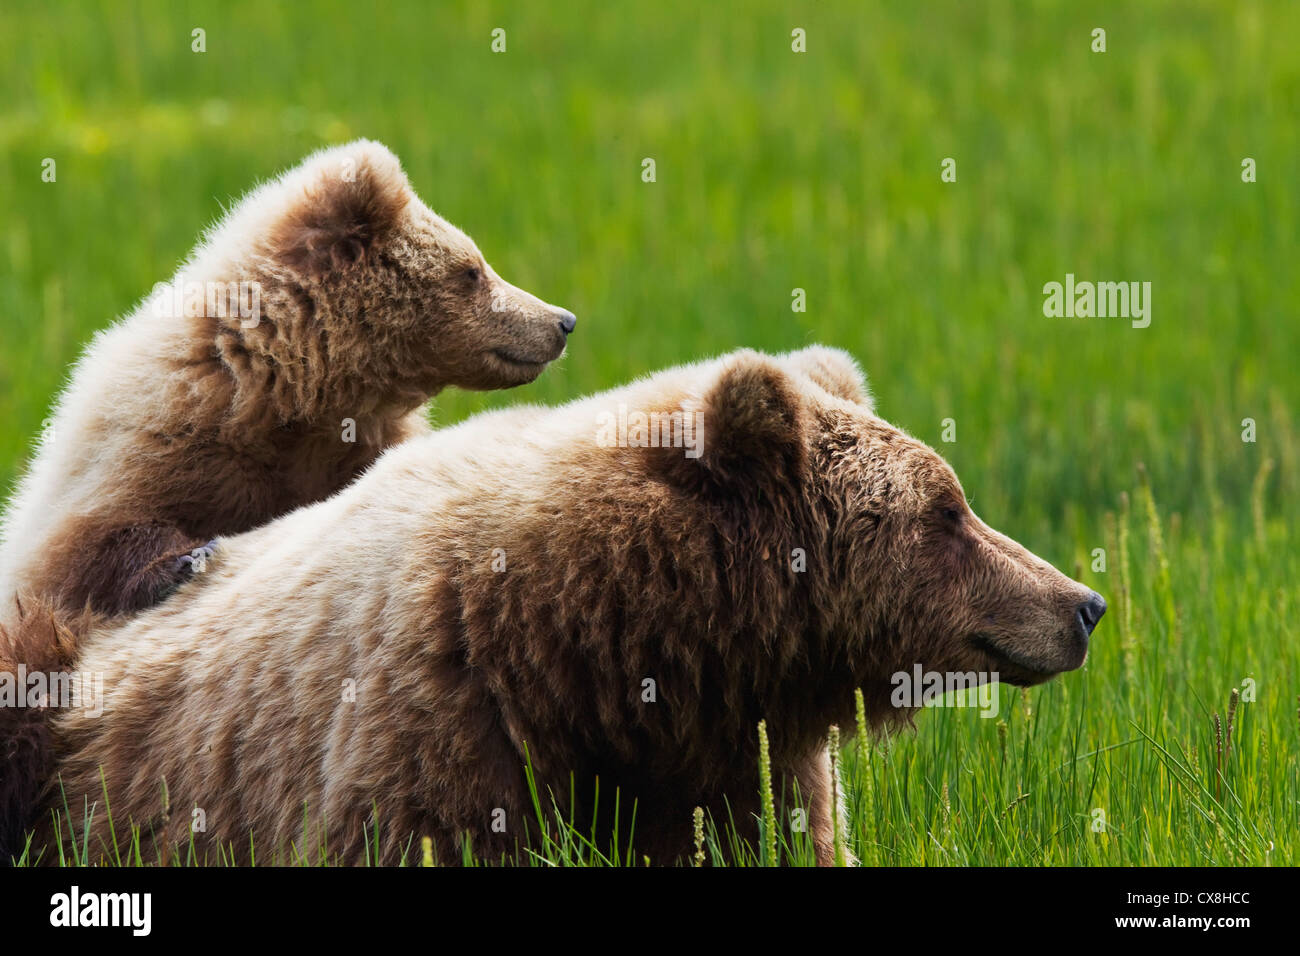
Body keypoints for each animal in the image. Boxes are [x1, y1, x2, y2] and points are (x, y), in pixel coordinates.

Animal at [0, 139, 576, 858]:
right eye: (471, 271)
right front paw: (188, 558)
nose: (562, 322)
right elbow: (96, 543)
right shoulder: (161, 444)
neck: (292, 404)